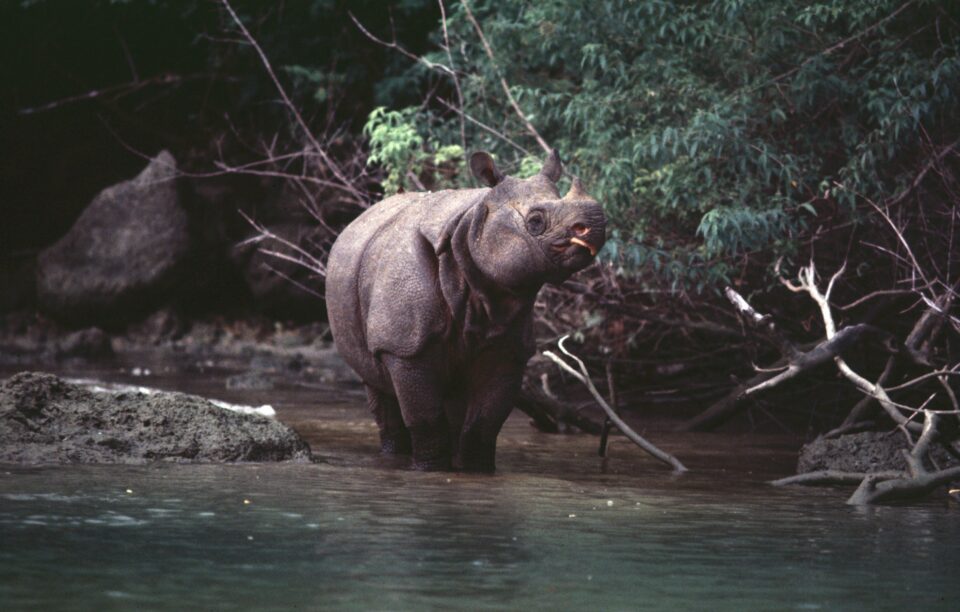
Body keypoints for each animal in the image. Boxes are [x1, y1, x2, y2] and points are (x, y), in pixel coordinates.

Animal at [325, 150, 606, 471]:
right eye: (535, 221)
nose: (596, 226)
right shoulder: (404, 346)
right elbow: (425, 418)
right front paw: (430, 469)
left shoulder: (509, 348)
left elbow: (485, 423)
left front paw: (476, 471)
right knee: (376, 384)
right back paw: (393, 455)